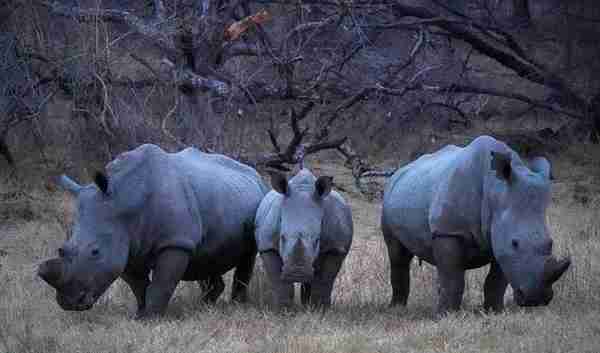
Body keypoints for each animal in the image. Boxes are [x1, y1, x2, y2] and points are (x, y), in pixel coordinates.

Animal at [37, 143, 268, 316]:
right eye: (62, 249)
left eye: (95, 252)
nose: (69, 303)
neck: (124, 199)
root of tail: (255, 173)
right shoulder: (126, 243)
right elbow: (138, 285)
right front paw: (140, 315)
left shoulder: (174, 242)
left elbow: (161, 284)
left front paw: (153, 317)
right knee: (206, 256)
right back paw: (205, 306)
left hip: (258, 198)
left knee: (247, 256)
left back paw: (236, 306)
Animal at [255, 168, 354, 308]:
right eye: (282, 238)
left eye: (317, 240)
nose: (297, 274)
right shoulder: (267, 245)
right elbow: (278, 280)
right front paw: (283, 309)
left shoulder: (335, 248)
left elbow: (325, 280)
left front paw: (320, 309)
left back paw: (308, 306)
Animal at [382, 135, 568, 314]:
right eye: (515, 243)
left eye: (550, 243)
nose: (535, 299)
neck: (495, 190)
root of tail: (399, 171)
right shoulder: (449, 231)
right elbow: (453, 279)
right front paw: (447, 315)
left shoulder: (499, 237)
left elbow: (496, 281)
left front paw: (495, 311)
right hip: (390, 196)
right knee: (398, 257)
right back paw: (397, 308)